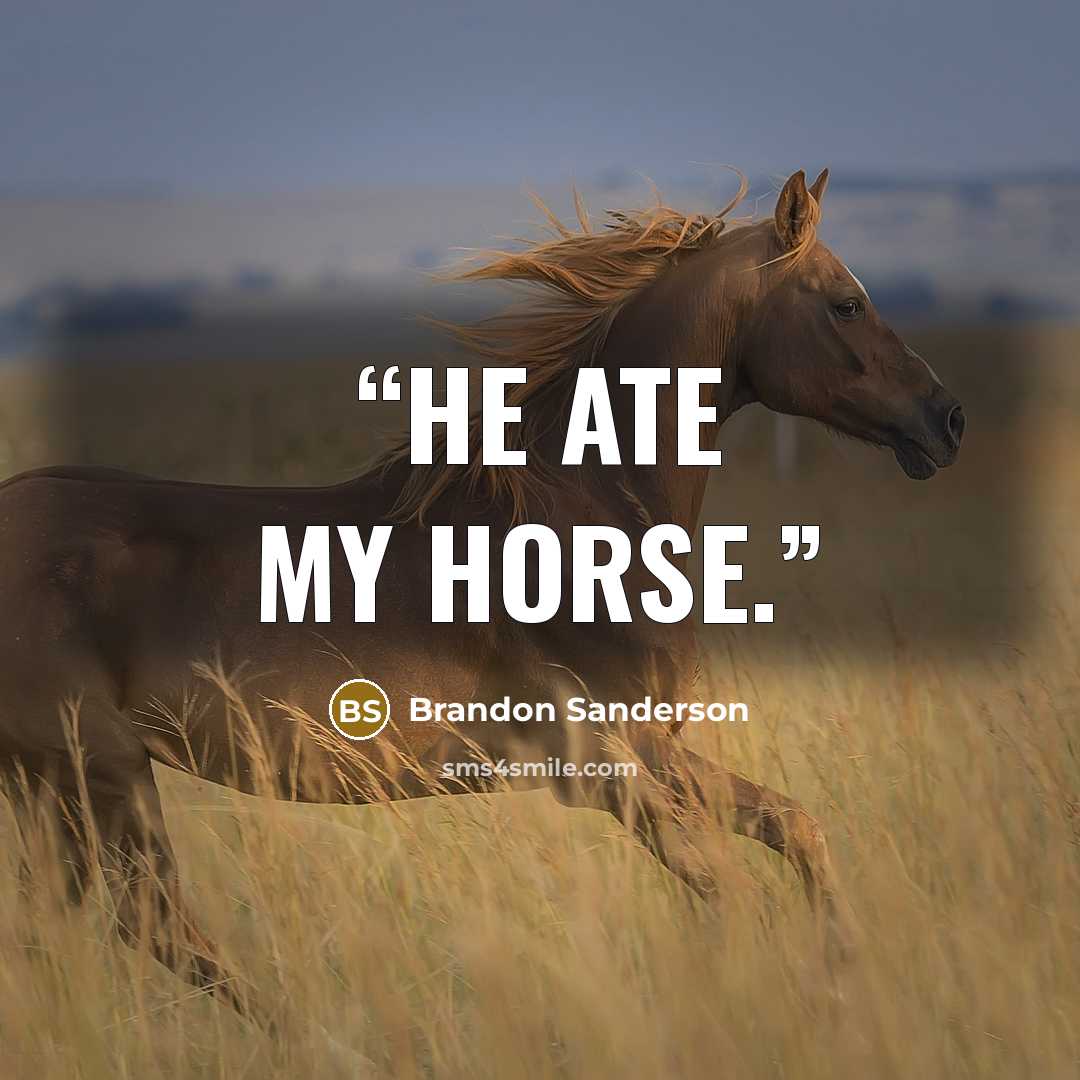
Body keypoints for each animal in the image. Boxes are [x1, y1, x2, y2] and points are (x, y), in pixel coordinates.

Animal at [0, 168, 964, 1029]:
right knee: (155, 923)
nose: (947, 420)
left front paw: (843, 979)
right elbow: (730, 892)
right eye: (845, 302)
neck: (582, 501)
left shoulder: (657, 748)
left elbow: (797, 829)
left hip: (54, 784)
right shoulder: (598, 763)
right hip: (97, 772)